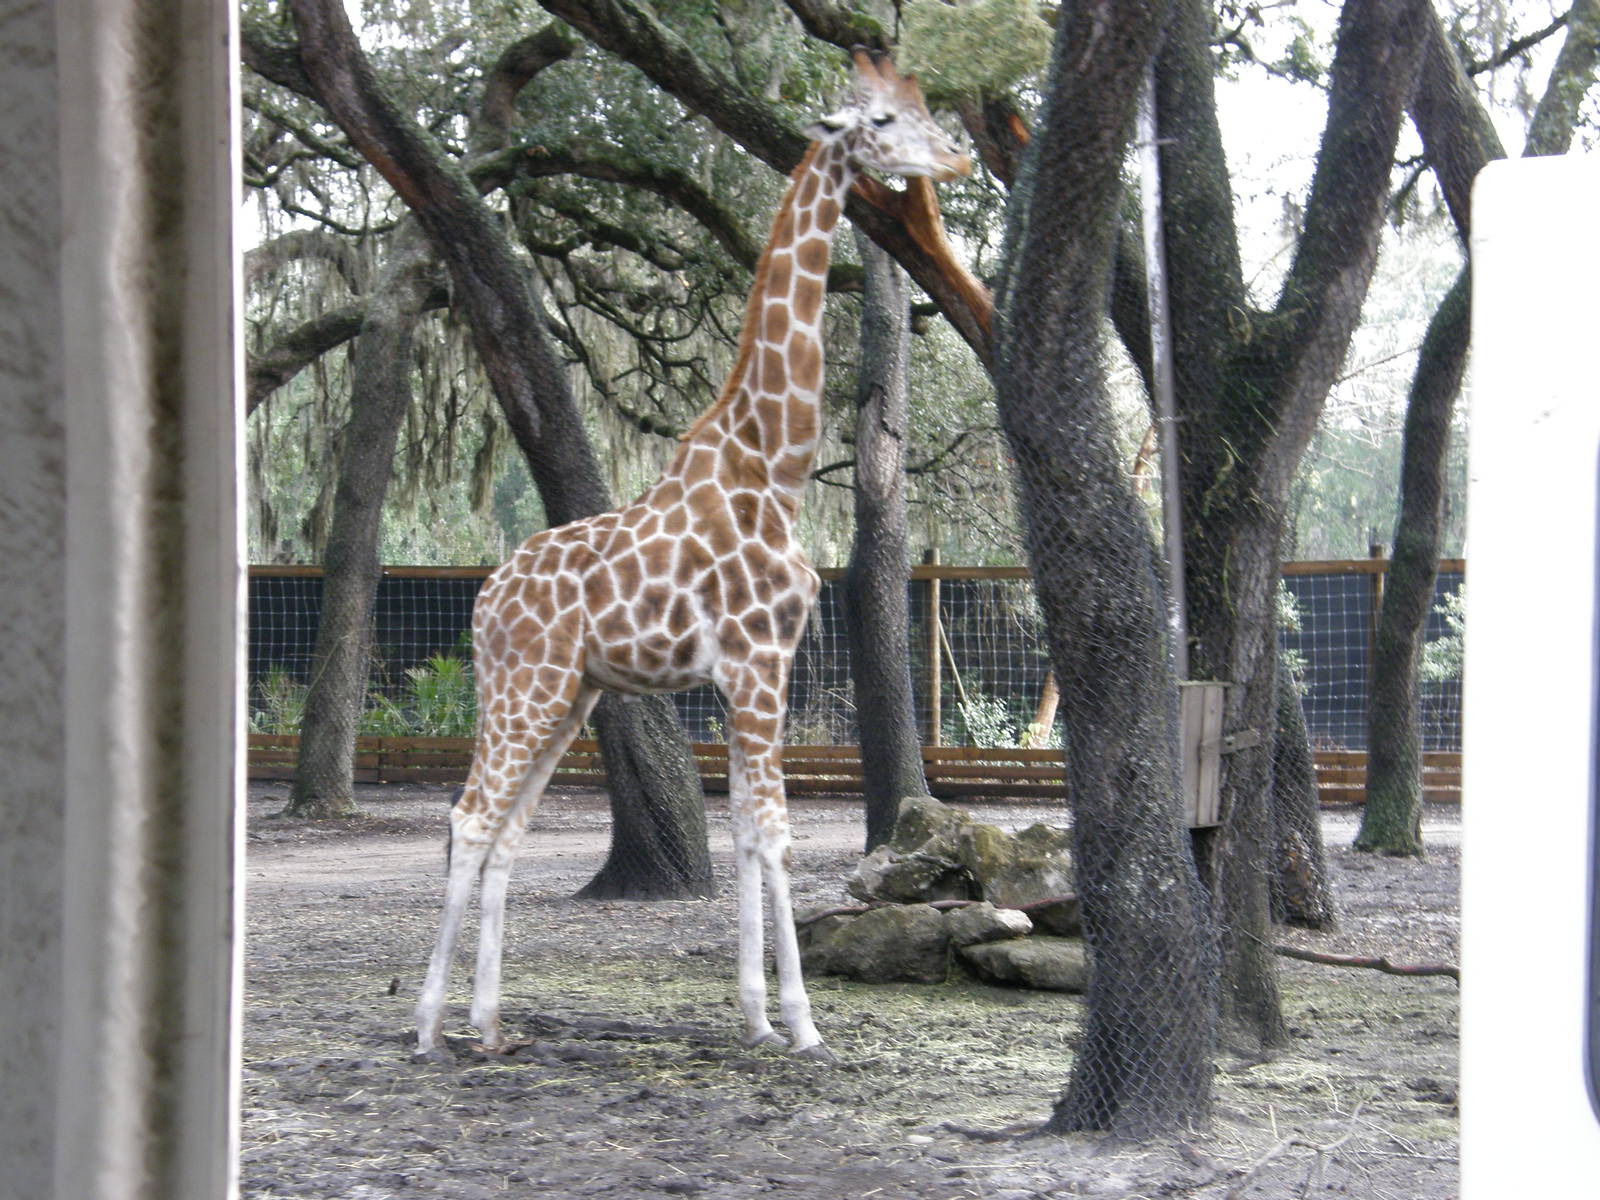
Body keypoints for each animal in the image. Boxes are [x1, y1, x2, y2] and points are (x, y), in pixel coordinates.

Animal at [414, 49, 971, 1062]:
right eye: (880, 120)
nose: (955, 157)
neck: (772, 465)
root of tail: (481, 603)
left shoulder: (756, 669)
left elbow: (748, 831)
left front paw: (754, 1014)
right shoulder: (757, 663)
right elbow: (775, 834)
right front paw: (802, 1022)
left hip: (570, 696)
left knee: (506, 831)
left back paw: (489, 1022)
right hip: (528, 688)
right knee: (471, 818)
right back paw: (430, 1026)